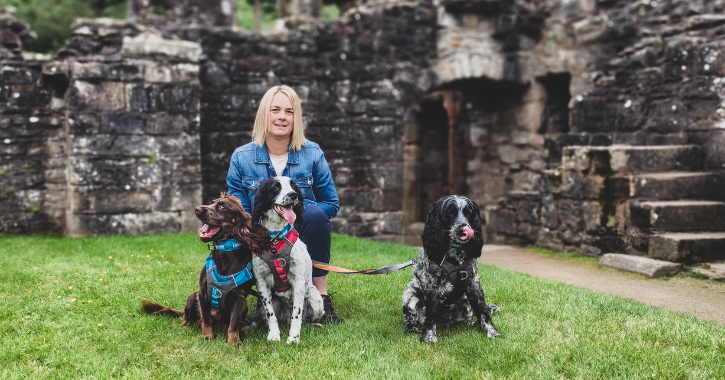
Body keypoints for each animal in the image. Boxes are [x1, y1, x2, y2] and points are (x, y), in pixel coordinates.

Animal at [141, 194, 268, 346]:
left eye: (222, 206)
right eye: (212, 203)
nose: (197, 209)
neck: (224, 254)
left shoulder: (239, 298)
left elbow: (233, 323)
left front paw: (234, 342)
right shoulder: (202, 293)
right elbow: (206, 319)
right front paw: (207, 337)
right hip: (192, 298)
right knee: (186, 319)